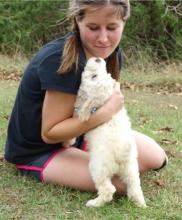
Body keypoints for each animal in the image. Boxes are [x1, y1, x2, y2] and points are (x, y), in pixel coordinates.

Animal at [73, 56, 146, 208]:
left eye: (94, 77)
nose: (97, 58)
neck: (104, 103)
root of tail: (122, 151)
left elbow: (80, 109)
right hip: (131, 169)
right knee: (134, 187)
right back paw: (141, 204)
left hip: (97, 168)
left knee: (108, 190)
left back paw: (94, 203)